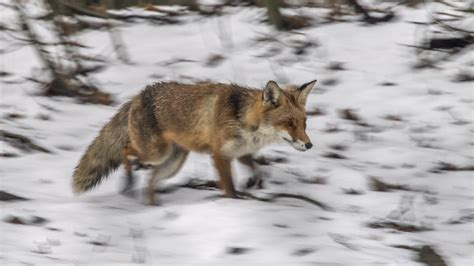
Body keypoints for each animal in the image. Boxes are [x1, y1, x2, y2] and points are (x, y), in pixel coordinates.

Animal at [72, 80, 316, 205]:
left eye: (304, 123)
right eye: (289, 123)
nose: (309, 145)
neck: (244, 120)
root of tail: (138, 95)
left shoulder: (240, 152)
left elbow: (258, 170)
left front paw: (253, 183)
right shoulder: (219, 154)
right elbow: (228, 186)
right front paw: (233, 202)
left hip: (172, 163)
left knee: (150, 181)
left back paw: (152, 205)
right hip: (156, 153)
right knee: (126, 150)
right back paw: (128, 182)